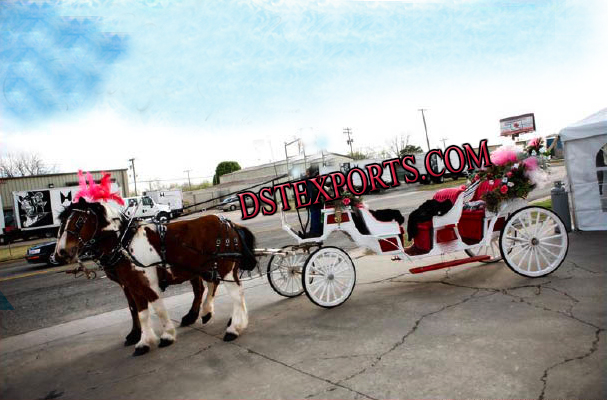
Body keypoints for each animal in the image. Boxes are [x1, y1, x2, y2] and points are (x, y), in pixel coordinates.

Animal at [55, 198, 256, 354]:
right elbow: (141, 313)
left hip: (225, 267)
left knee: (235, 294)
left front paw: (167, 336)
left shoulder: (148, 283)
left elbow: (158, 308)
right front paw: (143, 342)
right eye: (62, 222)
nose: (61, 252)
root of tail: (229, 223)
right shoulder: (132, 285)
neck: (125, 243)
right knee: (218, 287)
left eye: (79, 221)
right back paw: (215, 315)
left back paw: (233, 328)